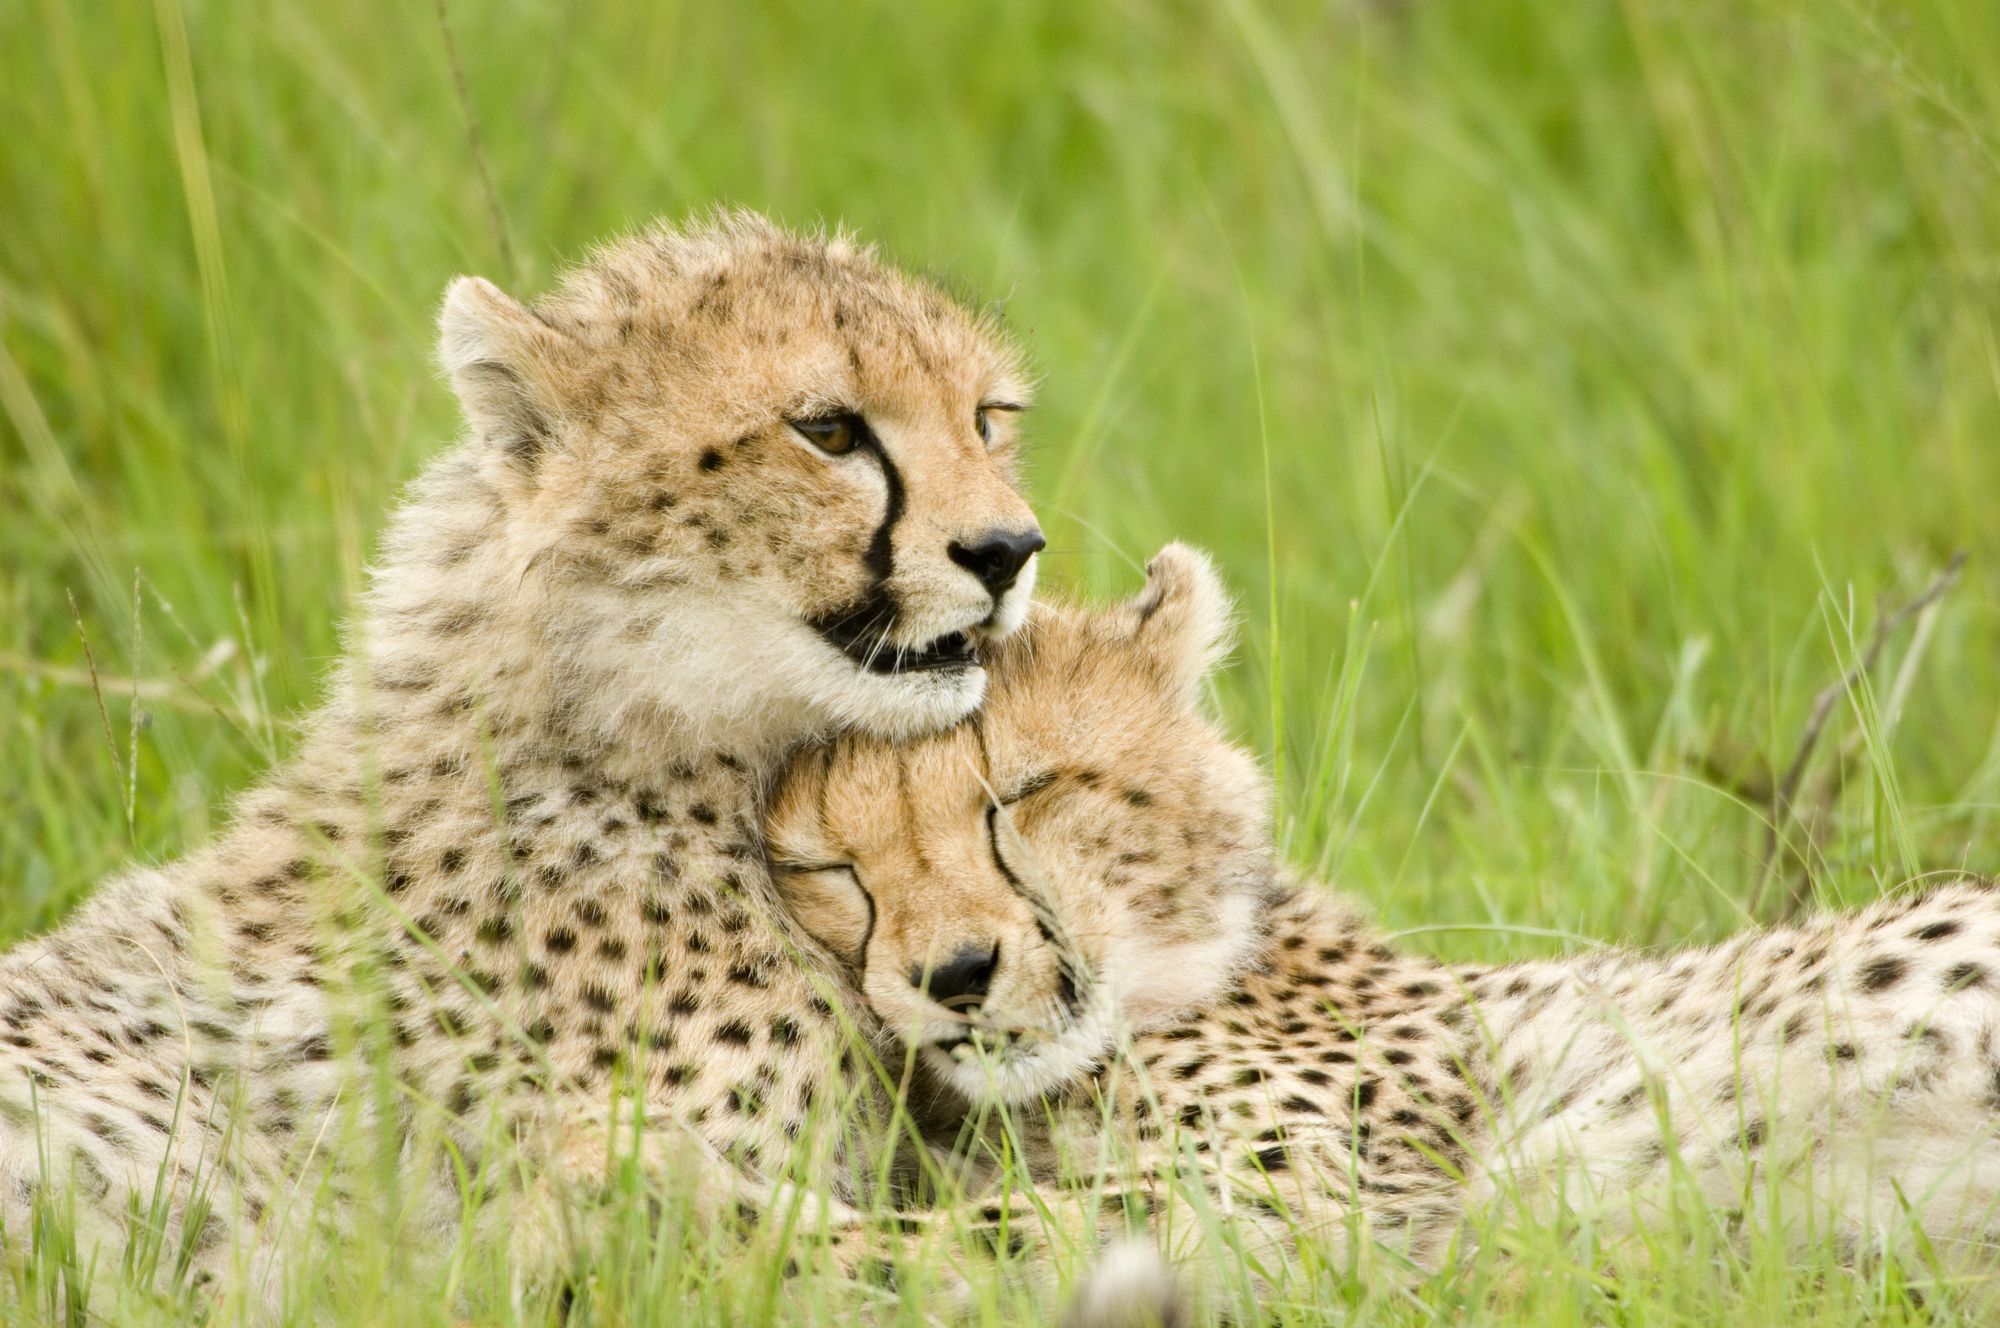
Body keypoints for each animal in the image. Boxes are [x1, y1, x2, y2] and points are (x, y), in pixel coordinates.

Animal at [770, 543, 2000, 1318]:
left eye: (1018, 794)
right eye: (833, 868)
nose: (955, 973)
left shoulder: (1305, 1206)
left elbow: (934, 1240)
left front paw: (720, 1211)